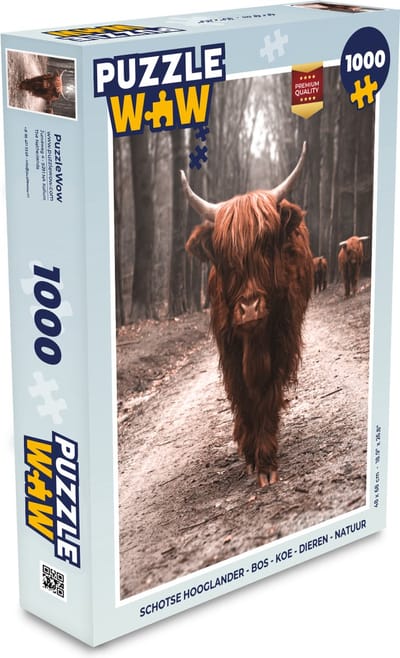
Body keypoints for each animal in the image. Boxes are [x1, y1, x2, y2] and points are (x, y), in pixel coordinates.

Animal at [182, 142, 313, 487]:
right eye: (225, 257)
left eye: (266, 245)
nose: (250, 308)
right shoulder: (228, 347)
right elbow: (242, 395)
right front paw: (251, 452)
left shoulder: (282, 339)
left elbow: (267, 393)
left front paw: (265, 461)